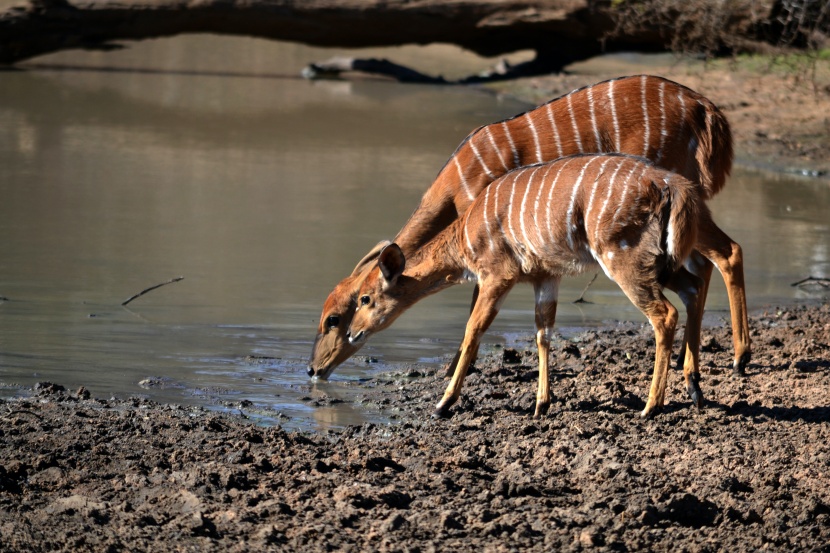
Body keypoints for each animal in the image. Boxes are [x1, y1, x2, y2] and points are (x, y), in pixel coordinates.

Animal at [308, 75, 752, 382]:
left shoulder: (491, 245)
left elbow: (476, 306)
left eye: (335, 318)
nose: (313, 369)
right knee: (706, 264)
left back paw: (739, 357)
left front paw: (454, 371)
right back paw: (694, 366)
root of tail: (706, 109)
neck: (458, 183)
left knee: (726, 252)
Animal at [348, 153, 712, 416]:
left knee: (665, 314)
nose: (352, 333)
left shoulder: (498, 274)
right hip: (660, 262)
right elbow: (543, 333)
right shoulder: (546, 276)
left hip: (624, 260)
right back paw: (694, 389)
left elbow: (472, 330)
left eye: (365, 298)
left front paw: (443, 404)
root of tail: (671, 185)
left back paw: (651, 407)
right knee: (692, 288)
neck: (466, 234)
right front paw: (540, 405)